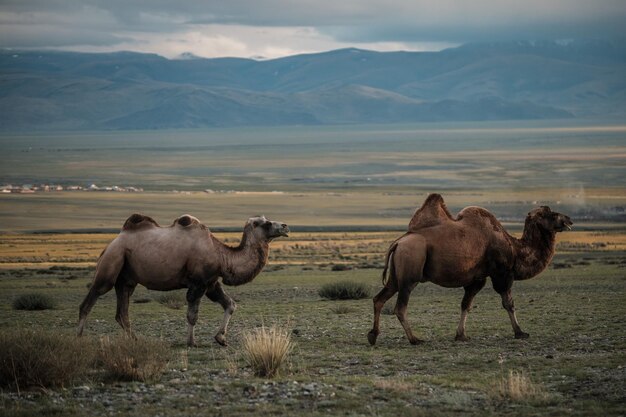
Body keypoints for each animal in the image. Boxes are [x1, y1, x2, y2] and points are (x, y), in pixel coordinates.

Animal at [75, 213, 288, 346]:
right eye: (266, 223)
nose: (285, 226)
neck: (222, 255)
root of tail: (113, 241)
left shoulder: (211, 282)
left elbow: (230, 304)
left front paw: (221, 338)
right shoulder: (198, 282)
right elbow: (192, 314)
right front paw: (191, 342)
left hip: (126, 278)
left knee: (122, 312)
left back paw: (135, 339)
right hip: (112, 261)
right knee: (91, 299)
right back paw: (78, 337)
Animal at [366, 193, 572, 342]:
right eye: (551, 214)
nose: (569, 220)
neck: (515, 248)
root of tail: (397, 243)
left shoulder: (477, 278)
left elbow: (466, 304)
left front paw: (461, 335)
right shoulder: (501, 273)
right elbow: (508, 303)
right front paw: (520, 332)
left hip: (396, 276)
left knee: (379, 298)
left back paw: (373, 336)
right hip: (410, 273)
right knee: (400, 307)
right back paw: (415, 339)